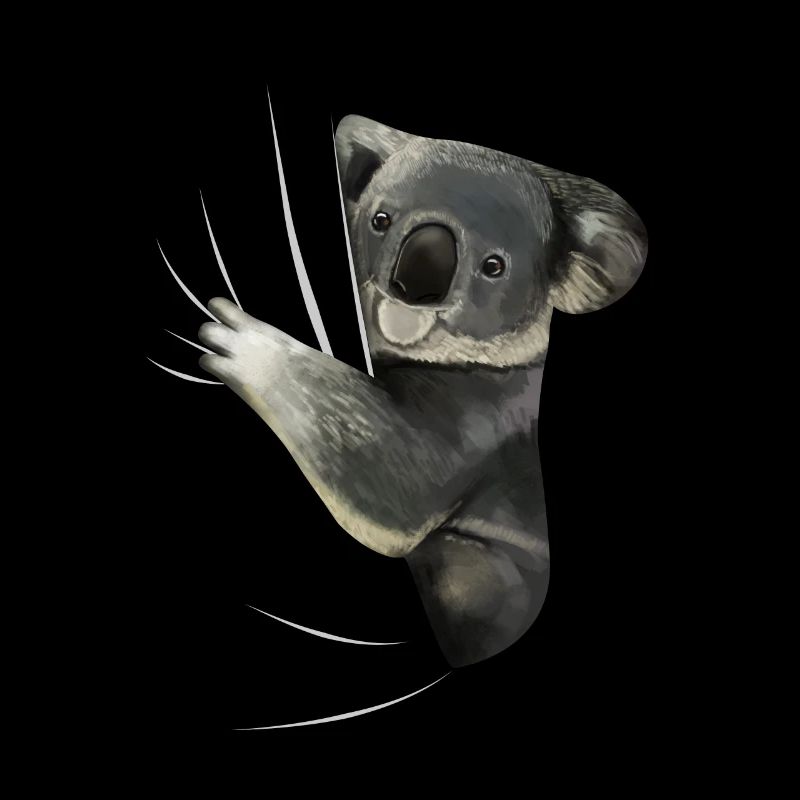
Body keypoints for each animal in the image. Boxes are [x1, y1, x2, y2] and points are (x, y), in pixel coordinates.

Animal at [193, 115, 647, 667]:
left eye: (494, 266)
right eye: (381, 219)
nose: (415, 283)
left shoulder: (479, 420)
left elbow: (398, 485)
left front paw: (243, 344)